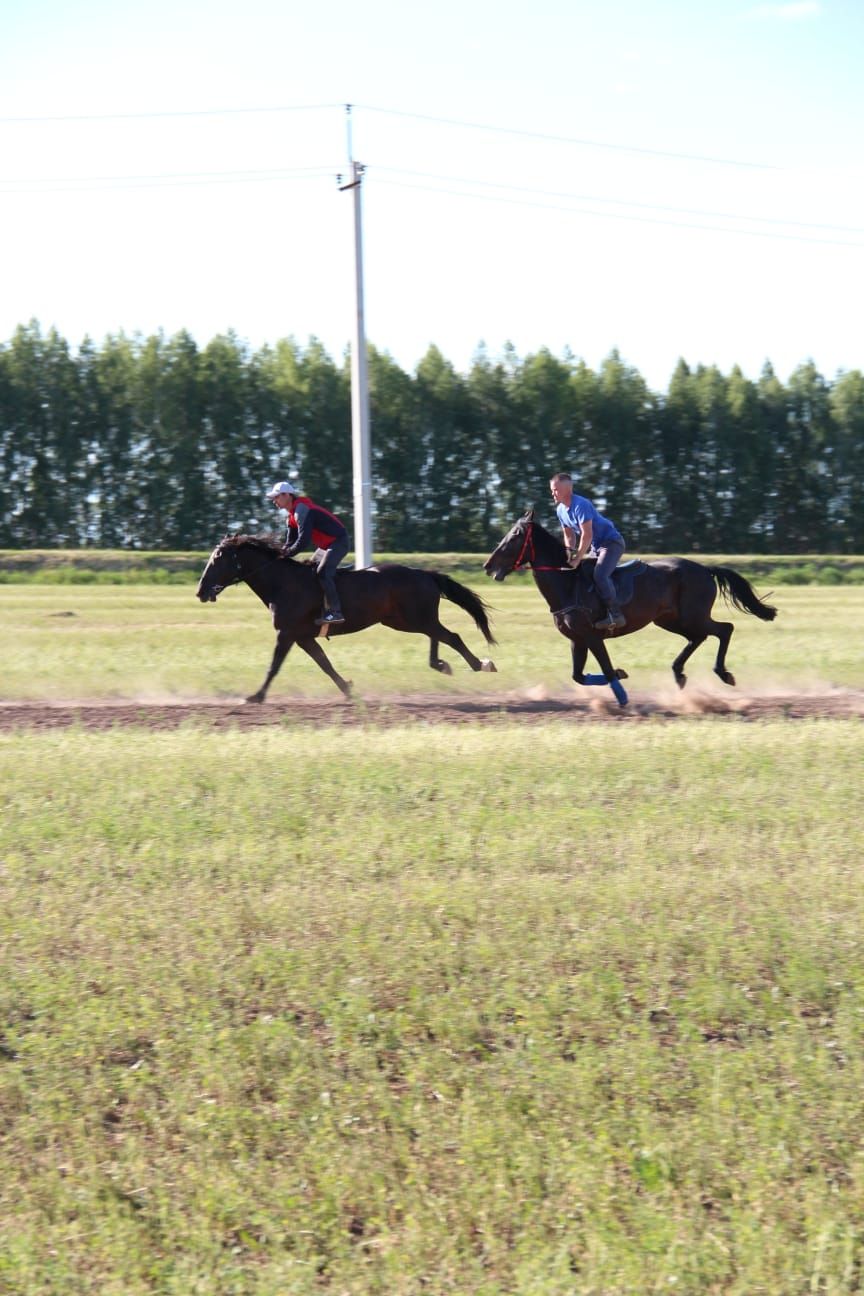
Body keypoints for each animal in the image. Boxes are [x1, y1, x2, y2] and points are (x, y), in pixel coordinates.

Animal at [193, 533, 497, 705]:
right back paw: (441, 664)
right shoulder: (302, 637)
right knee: (437, 635)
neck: (283, 582)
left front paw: (256, 696)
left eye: (217, 558)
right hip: (404, 620)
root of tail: (425, 573)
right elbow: (325, 664)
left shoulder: (287, 633)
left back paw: (481, 664)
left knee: (451, 636)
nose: (200, 590)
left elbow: (274, 666)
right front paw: (348, 689)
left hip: (414, 618)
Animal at [487, 508, 777, 710]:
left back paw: (723, 673)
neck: (568, 583)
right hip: (671, 620)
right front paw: (621, 674)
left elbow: (604, 668)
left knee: (724, 629)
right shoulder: (576, 639)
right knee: (699, 638)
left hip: (692, 616)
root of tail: (706, 569)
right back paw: (679, 673)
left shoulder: (593, 636)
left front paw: (622, 695)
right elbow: (578, 675)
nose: (488, 566)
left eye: (515, 536)